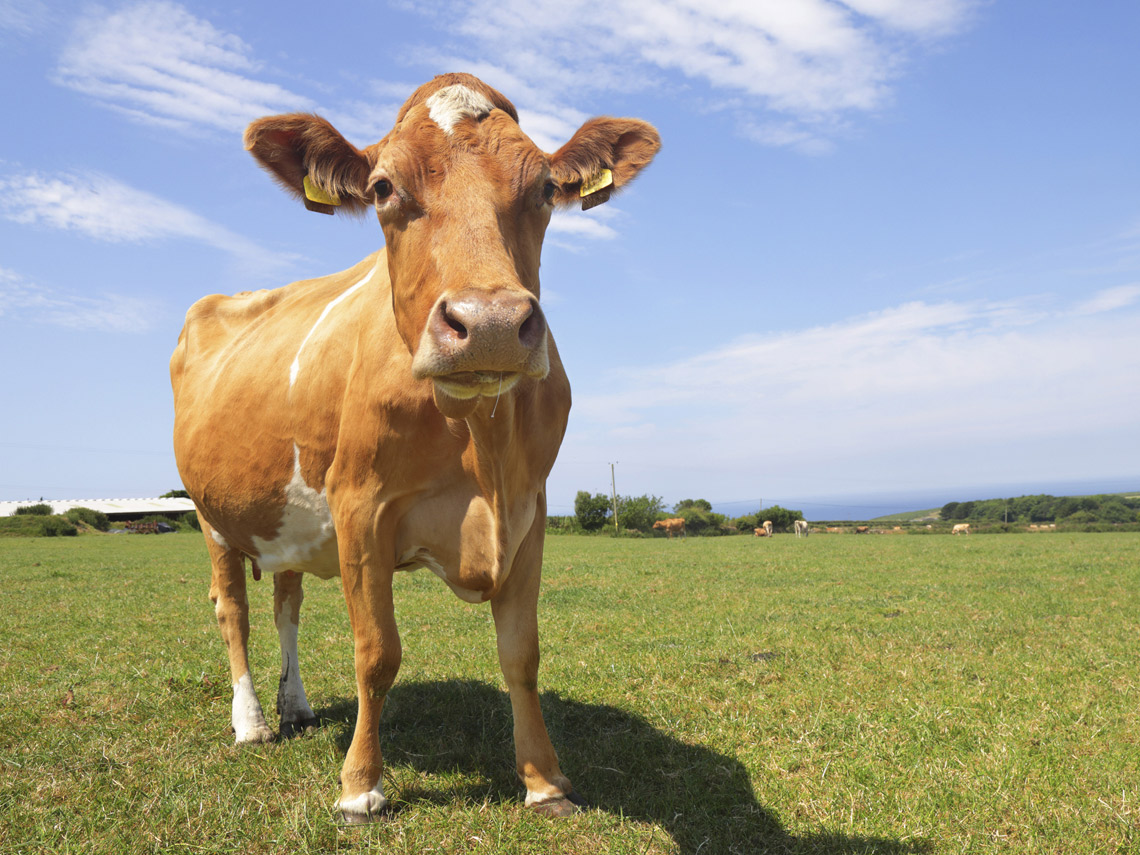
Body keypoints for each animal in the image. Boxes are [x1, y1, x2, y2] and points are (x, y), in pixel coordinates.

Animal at [170, 73, 660, 823]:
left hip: (283, 516)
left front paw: (544, 781)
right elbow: (377, 653)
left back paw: (296, 704)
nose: (490, 324)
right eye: (381, 188)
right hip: (209, 513)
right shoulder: (360, 508)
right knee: (233, 610)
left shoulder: (531, 510)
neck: (482, 442)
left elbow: (521, 653)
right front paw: (360, 786)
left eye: (547, 187)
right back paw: (251, 722)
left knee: (286, 603)